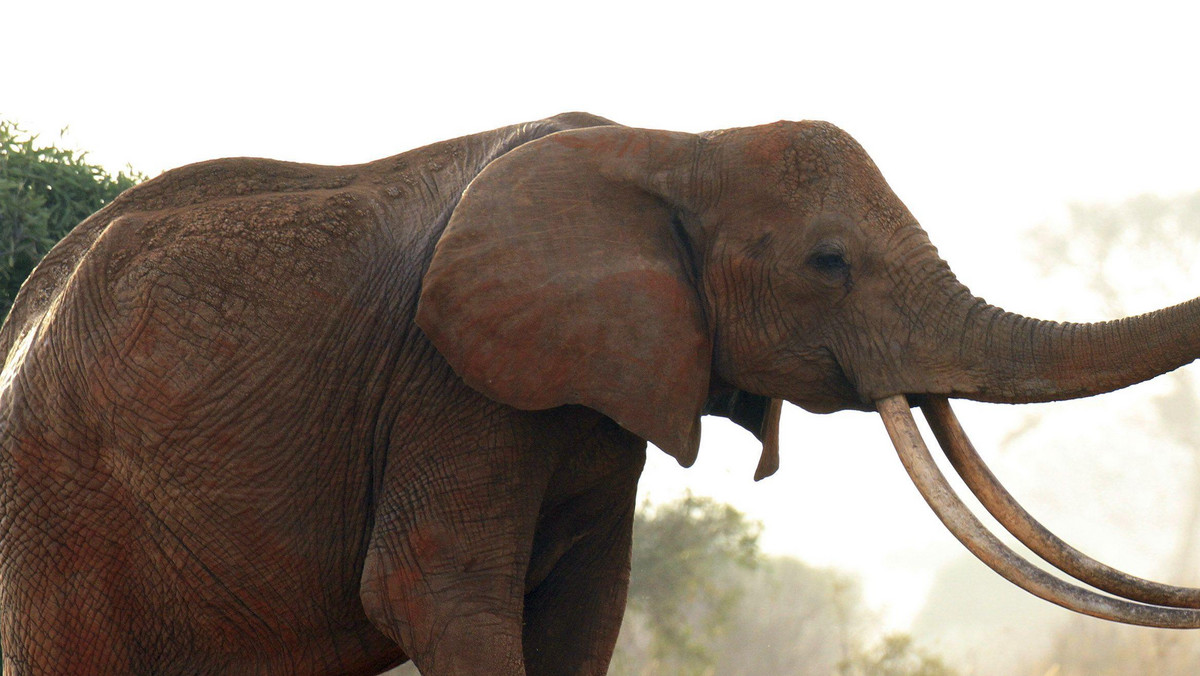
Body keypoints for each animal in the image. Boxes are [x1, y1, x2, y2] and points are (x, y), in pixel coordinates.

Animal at [2, 113, 1200, 672]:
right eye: (829, 264)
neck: (681, 145)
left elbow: (586, 608)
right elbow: (428, 592)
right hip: (59, 516)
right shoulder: (451, 384)